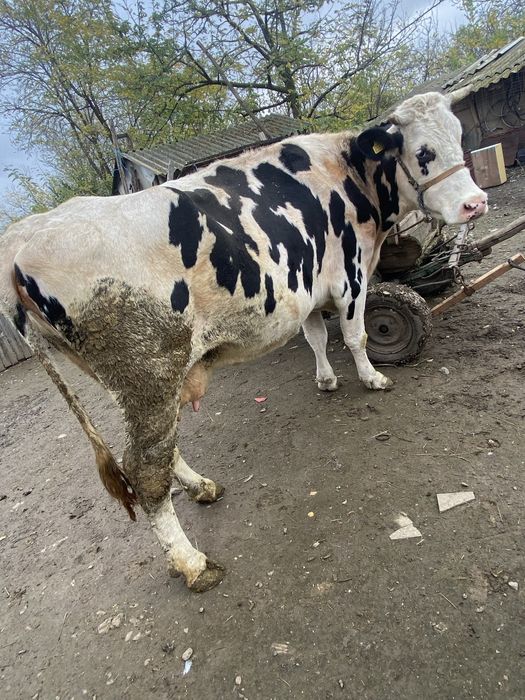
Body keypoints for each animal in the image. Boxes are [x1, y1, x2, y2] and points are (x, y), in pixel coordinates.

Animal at [0, 91, 487, 592]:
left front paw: (326, 380)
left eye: (459, 135)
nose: (476, 204)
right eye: (423, 151)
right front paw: (372, 377)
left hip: (133, 383)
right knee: (145, 471)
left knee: (160, 453)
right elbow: (356, 334)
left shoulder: (307, 288)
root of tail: (23, 235)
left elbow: (315, 336)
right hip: (148, 373)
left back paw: (201, 488)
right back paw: (192, 563)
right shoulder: (349, 275)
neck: (345, 172)